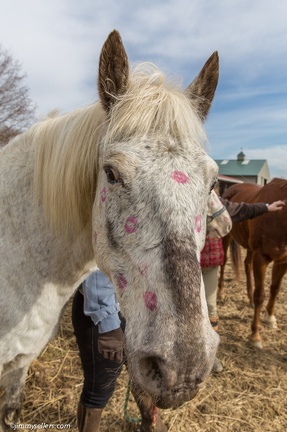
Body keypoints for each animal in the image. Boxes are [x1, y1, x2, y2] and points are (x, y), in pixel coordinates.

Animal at [219, 177, 286, 350]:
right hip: (227, 235)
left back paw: (248, 298)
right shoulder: (261, 257)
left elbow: (275, 289)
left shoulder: (283, 261)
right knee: (223, 262)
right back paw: (220, 293)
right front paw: (255, 336)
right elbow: (260, 295)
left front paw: (270, 318)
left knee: (247, 264)